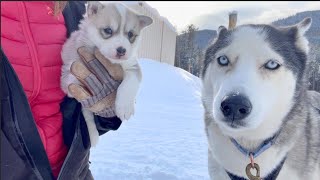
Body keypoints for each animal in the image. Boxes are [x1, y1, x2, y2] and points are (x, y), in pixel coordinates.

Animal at [61, 1, 154, 145]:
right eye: (108, 30)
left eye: (130, 35)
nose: (122, 50)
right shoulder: (72, 67)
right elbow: (72, 80)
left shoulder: (133, 66)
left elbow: (130, 83)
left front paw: (125, 107)